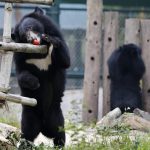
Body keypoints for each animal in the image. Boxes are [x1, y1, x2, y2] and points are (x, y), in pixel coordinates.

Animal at [11, 7, 70, 148]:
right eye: (24, 34)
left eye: (31, 27)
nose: (33, 39)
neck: (39, 50)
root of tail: (43, 126)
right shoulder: (21, 55)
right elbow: (21, 74)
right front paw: (35, 83)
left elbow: (65, 61)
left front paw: (51, 39)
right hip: (29, 115)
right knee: (27, 134)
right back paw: (25, 145)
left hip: (55, 115)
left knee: (59, 133)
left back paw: (59, 146)